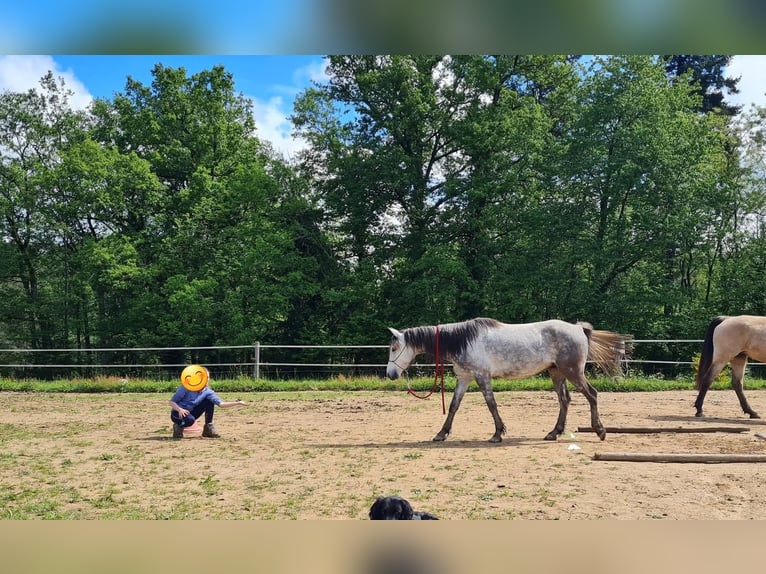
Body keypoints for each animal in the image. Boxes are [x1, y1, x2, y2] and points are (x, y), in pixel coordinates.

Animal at [386, 317, 630, 442]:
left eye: (394, 347)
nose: (390, 374)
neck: (464, 340)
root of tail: (579, 328)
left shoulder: (482, 376)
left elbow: (491, 404)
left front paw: (497, 434)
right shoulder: (464, 378)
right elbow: (454, 406)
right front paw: (441, 433)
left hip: (573, 372)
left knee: (591, 395)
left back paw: (600, 431)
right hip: (557, 373)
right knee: (565, 400)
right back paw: (554, 433)